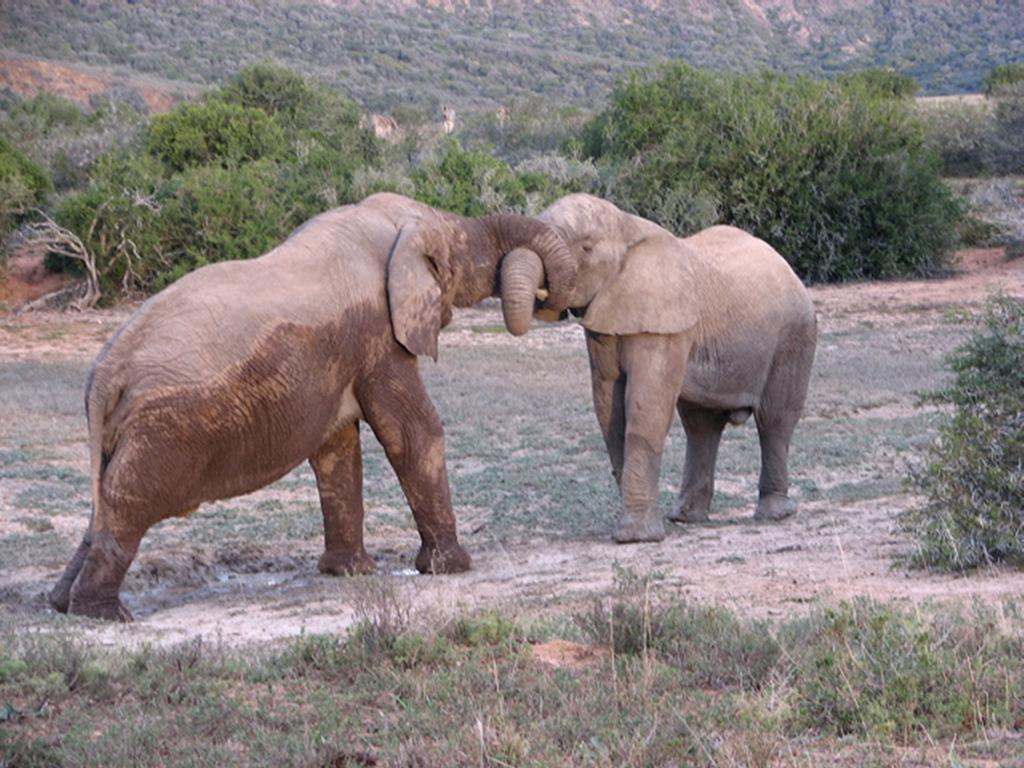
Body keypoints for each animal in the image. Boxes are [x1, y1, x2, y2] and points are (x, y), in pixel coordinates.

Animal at [49, 193, 577, 626]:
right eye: (470, 252)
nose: (551, 301)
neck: (387, 225)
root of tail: (104, 376)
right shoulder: (377, 335)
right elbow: (412, 433)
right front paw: (452, 568)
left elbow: (336, 449)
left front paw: (349, 574)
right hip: (162, 430)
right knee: (128, 502)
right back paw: (105, 616)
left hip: (128, 430)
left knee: (103, 503)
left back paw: (60, 604)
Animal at [501, 196, 815, 548]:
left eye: (586, 248)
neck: (626, 227)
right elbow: (608, 407)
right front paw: (637, 530)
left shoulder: (664, 324)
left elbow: (646, 409)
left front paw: (636, 538)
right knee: (701, 426)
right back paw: (686, 517)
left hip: (794, 335)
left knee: (775, 419)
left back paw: (777, 514)